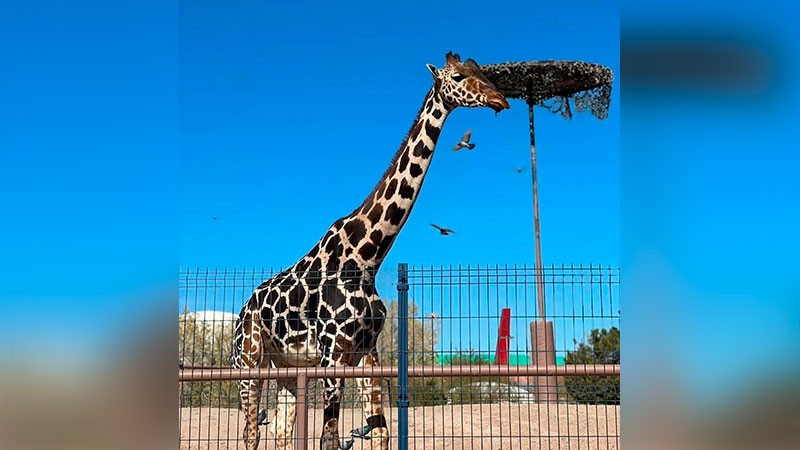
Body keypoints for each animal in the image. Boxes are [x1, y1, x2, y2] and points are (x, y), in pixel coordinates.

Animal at [232, 51, 509, 450]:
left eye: (481, 70)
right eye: (458, 76)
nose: (501, 99)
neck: (367, 257)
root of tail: (242, 309)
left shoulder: (367, 355)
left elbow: (381, 432)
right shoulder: (332, 355)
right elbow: (330, 438)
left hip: (287, 369)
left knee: (281, 433)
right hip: (249, 361)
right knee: (250, 432)